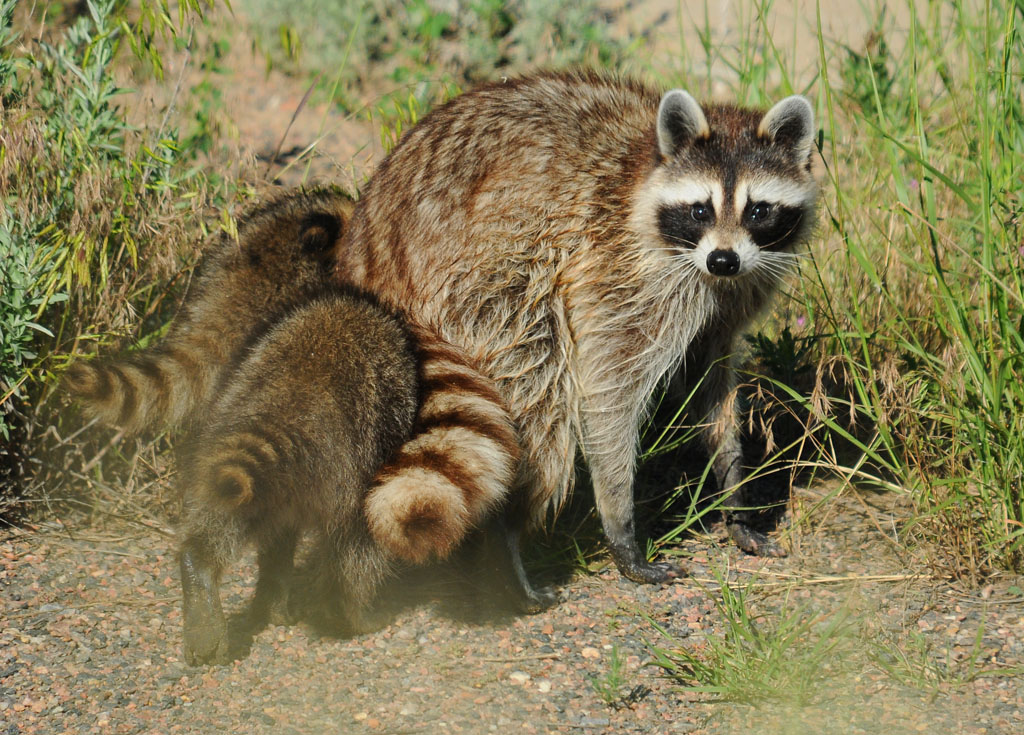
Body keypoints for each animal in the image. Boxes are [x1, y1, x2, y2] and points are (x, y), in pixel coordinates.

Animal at [178, 289, 418, 665]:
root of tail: (292, 395)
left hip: (235, 440)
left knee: (233, 516)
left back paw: (209, 578)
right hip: (354, 459)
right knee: (356, 546)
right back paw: (351, 612)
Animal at [333, 71, 820, 610]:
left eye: (758, 211)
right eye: (699, 210)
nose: (723, 259)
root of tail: (369, 254)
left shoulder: (724, 303)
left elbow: (707, 384)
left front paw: (734, 485)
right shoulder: (619, 270)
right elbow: (608, 389)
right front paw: (620, 523)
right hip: (486, 282)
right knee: (539, 402)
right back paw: (507, 537)